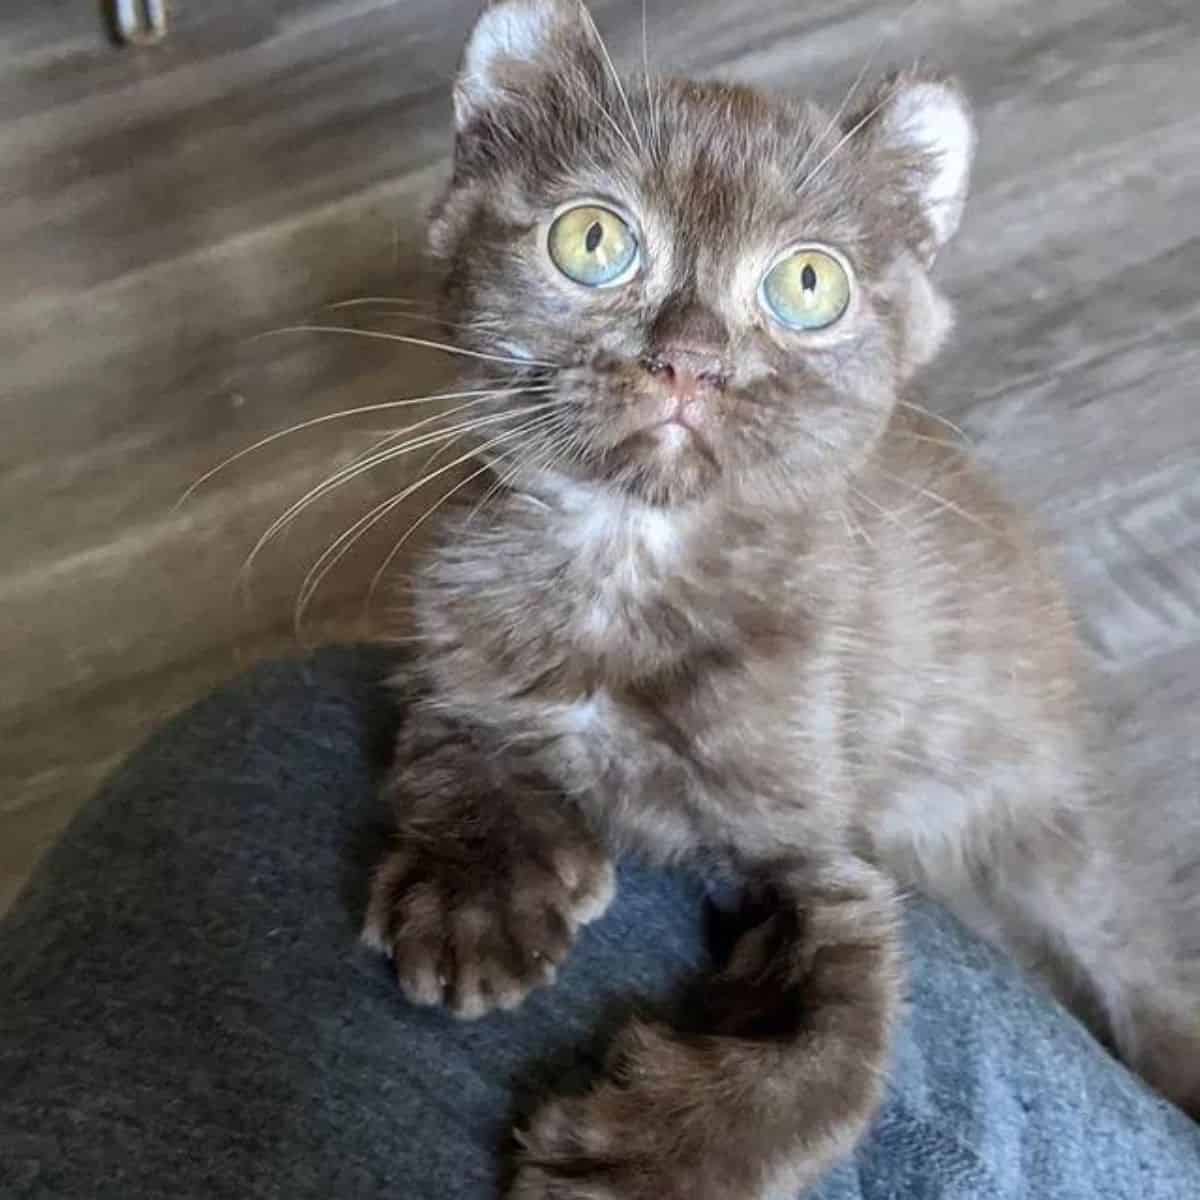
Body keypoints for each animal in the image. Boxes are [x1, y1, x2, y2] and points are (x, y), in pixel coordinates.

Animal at [357, 4, 1200, 1195]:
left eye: (808, 286)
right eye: (592, 242)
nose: (690, 360)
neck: (631, 558)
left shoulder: (824, 855)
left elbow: (833, 1061)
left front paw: (641, 1162)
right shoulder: (453, 639)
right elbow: (444, 736)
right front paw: (476, 889)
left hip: (1041, 818)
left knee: (1124, 950)